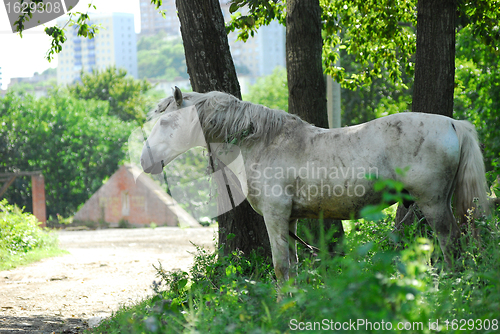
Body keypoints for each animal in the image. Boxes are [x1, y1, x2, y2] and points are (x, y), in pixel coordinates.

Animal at [141, 87, 488, 280]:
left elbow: (281, 267)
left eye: (167, 121)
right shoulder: (290, 219)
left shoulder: (275, 217)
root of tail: (453, 123)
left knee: (449, 242)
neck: (262, 142)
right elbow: (293, 267)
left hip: (434, 204)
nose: (146, 161)